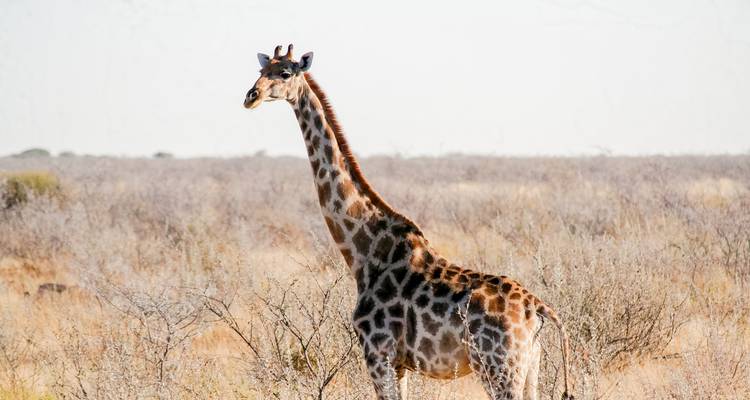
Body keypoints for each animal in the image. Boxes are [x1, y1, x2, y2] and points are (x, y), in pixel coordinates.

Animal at [243, 44, 574, 400]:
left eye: (284, 73)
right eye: (262, 70)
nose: (251, 96)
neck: (363, 253)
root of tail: (537, 308)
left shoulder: (378, 353)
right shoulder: (399, 363)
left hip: (498, 367)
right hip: (529, 366)